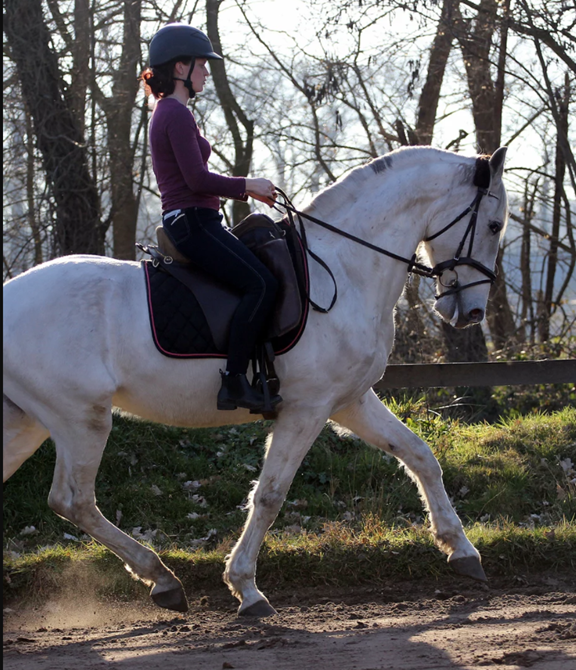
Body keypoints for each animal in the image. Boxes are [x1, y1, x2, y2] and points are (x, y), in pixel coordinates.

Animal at [3, 147, 508, 620]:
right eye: (495, 224)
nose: (471, 313)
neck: (344, 268)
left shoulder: (350, 401)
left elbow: (420, 455)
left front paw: (462, 551)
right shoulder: (307, 408)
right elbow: (269, 495)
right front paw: (245, 588)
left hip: (28, 422)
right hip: (80, 419)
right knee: (74, 501)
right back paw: (161, 578)